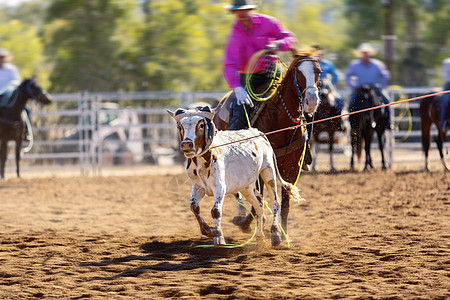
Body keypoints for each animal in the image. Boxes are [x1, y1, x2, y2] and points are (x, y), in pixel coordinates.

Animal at [167, 105, 300, 246]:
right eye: (180, 127)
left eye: (201, 125)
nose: (187, 145)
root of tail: (260, 134)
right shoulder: (198, 187)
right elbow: (194, 206)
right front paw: (209, 230)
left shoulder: (220, 187)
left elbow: (215, 211)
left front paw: (219, 238)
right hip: (247, 186)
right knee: (259, 203)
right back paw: (259, 235)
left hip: (268, 172)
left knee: (276, 202)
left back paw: (275, 235)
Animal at [213, 50, 322, 236]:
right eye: (298, 72)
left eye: (319, 72)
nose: (312, 101)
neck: (281, 122)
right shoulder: (260, 169)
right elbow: (259, 199)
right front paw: (247, 223)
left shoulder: (293, 168)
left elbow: (285, 201)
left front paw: (283, 232)